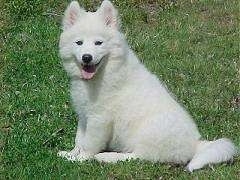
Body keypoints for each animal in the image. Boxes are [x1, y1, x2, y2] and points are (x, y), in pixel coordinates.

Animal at [58, 0, 236, 172]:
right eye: (79, 43)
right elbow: (79, 139)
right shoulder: (84, 115)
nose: (86, 57)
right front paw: (70, 154)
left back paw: (108, 157)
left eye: (98, 43)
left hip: (149, 132)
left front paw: (79, 160)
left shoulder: (100, 118)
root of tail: (195, 144)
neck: (103, 72)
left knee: (138, 156)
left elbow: (89, 143)